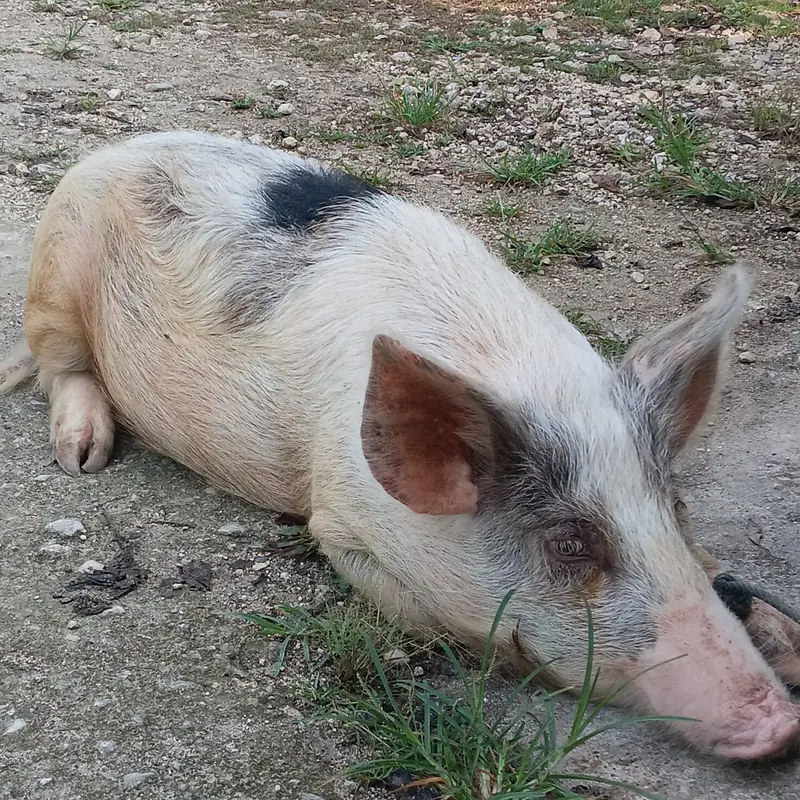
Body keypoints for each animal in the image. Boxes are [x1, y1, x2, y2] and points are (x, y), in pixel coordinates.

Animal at [1, 130, 798, 760]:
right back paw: (83, 454)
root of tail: (112, 150)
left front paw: (777, 633)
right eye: (570, 544)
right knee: (61, 366)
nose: (781, 725)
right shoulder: (338, 518)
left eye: (677, 508)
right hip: (55, 272)